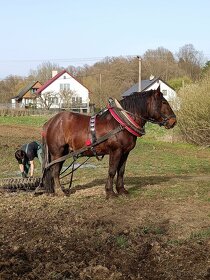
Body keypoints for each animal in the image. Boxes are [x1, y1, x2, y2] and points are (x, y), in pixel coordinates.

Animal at [37, 86, 176, 198]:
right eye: (164, 102)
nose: (173, 121)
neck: (121, 123)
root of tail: (50, 122)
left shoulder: (125, 153)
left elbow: (121, 171)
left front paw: (121, 190)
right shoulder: (116, 151)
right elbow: (112, 171)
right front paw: (110, 192)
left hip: (64, 152)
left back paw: (55, 190)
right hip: (58, 152)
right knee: (55, 171)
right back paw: (60, 191)